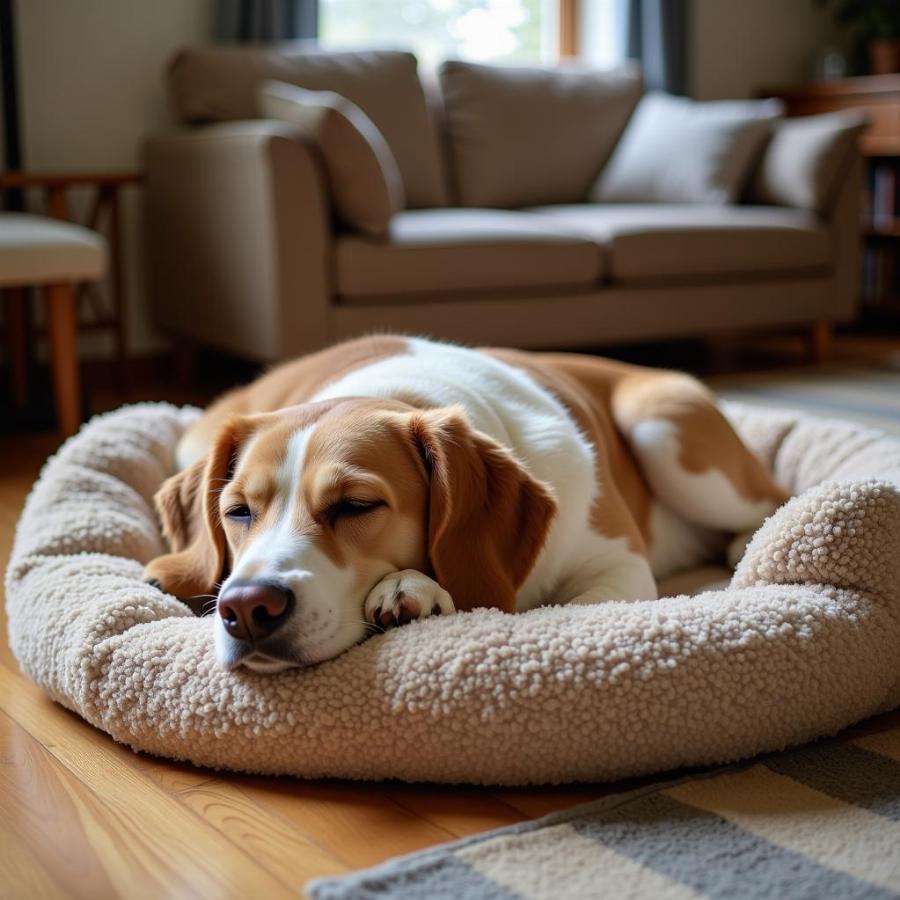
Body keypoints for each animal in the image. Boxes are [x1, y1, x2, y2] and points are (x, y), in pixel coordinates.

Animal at [144, 334, 784, 672]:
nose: (247, 607)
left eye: (355, 505)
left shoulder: (618, 565)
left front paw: (412, 589)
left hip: (666, 430)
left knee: (771, 498)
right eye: (237, 512)